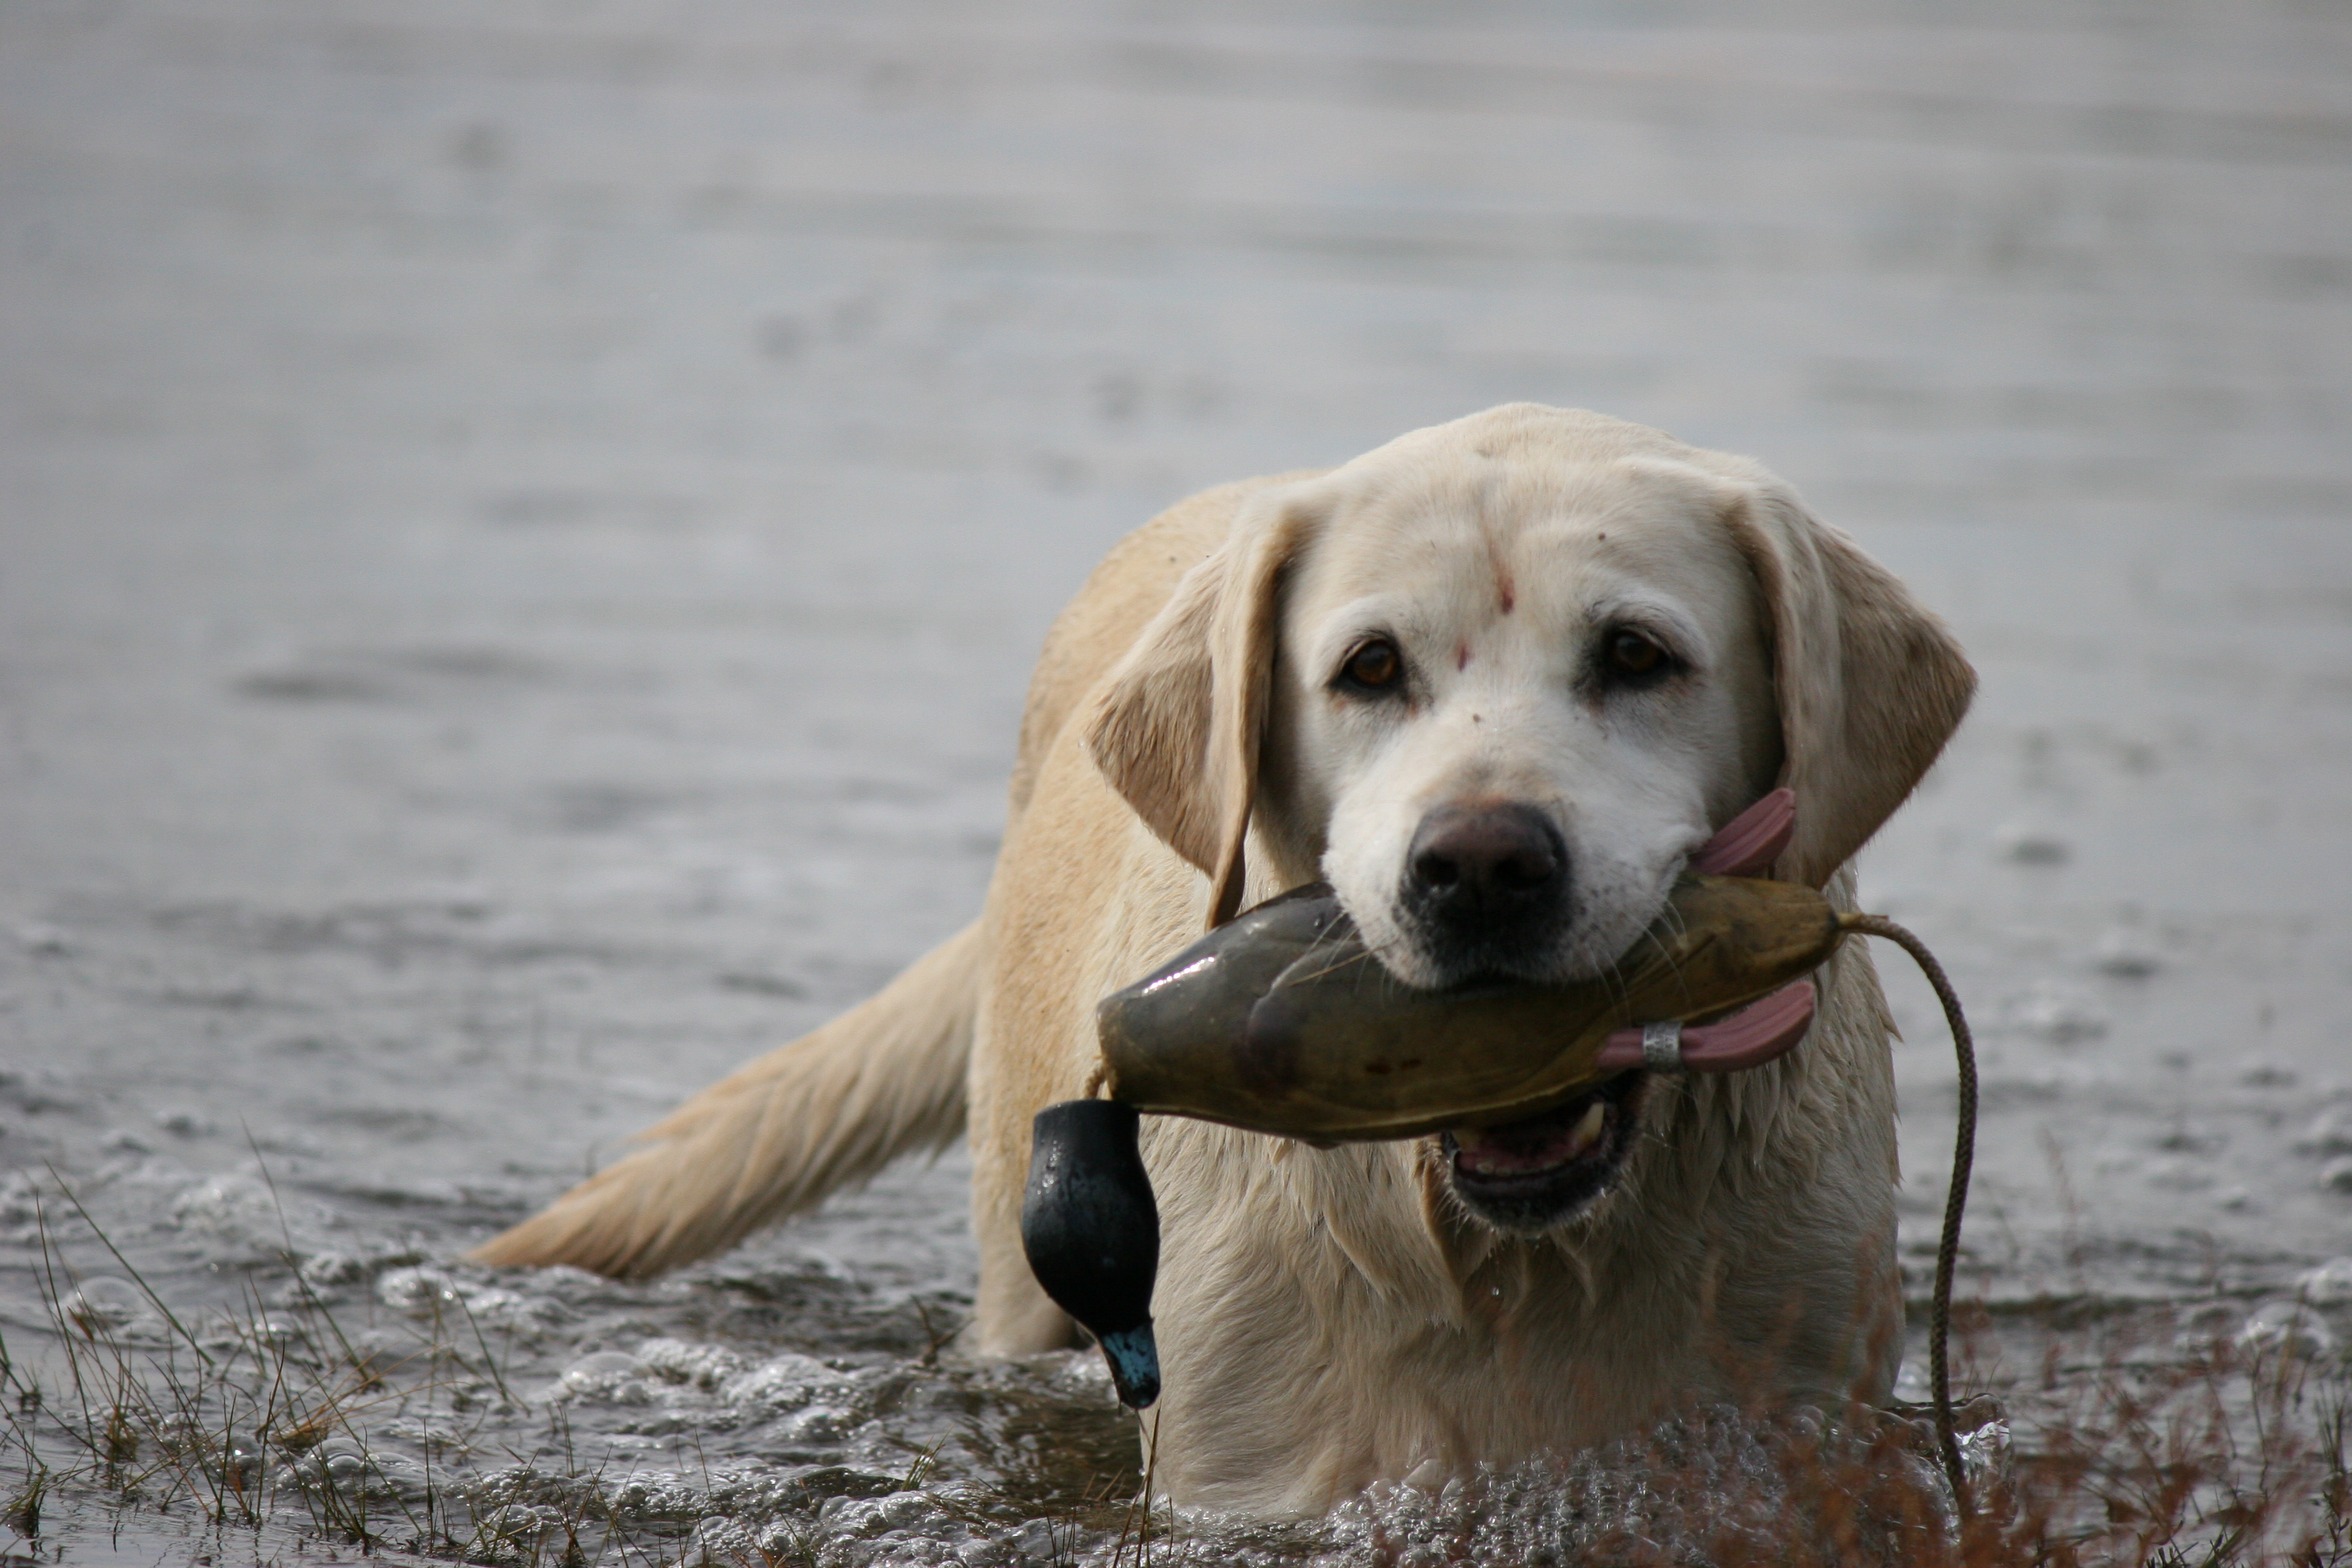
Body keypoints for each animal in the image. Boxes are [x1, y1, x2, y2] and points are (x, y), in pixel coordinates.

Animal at [473, 411, 1966, 1514]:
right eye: (1368, 668)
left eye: (1637, 655)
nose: (1481, 867)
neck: (1502, 1263)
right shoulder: (1236, 1469)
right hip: (1024, 1262)